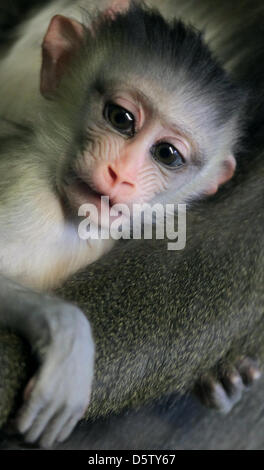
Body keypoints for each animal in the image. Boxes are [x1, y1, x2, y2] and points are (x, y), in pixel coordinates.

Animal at [0, 0, 248, 448]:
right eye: (120, 118)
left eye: (167, 154)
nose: (121, 175)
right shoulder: (25, 195)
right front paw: (67, 334)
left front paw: (222, 377)